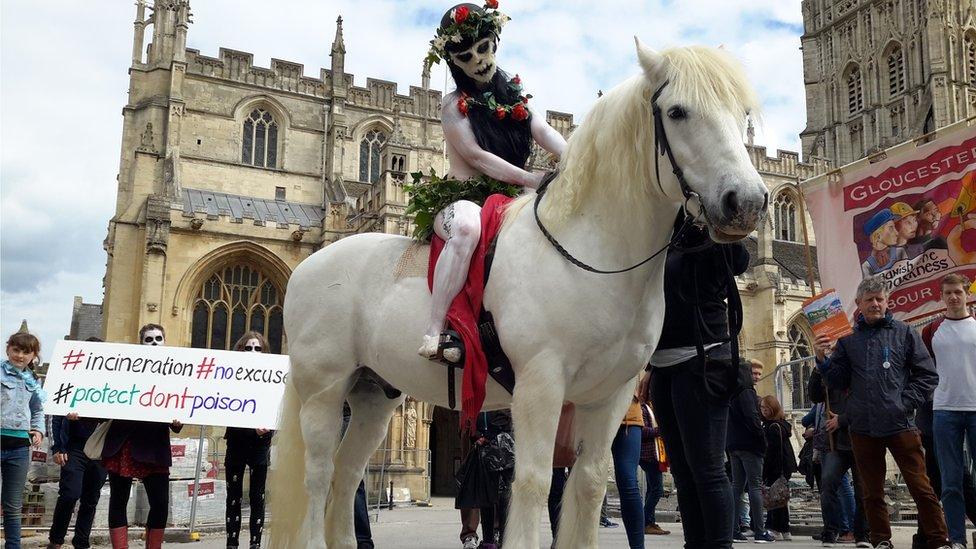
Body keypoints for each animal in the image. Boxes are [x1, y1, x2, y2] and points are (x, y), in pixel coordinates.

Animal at [270, 41, 768, 548]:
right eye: (677, 111)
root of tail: (311, 263)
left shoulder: (611, 394)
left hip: (373, 393)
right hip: (324, 388)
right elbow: (531, 482)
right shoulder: (539, 382)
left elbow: (589, 484)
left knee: (347, 473)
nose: (747, 203)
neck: (591, 254)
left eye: (741, 112)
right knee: (318, 475)